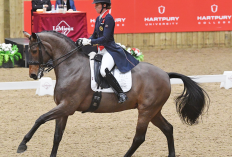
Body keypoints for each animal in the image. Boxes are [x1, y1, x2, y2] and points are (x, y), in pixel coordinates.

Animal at [18, 31, 209, 157]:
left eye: (34, 50)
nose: (33, 75)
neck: (71, 67)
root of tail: (165, 75)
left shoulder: (68, 107)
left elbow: (40, 119)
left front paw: (22, 145)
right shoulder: (63, 109)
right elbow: (57, 136)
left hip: (146, 111)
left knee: (139, 138)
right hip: (154, 111)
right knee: (168, 129)